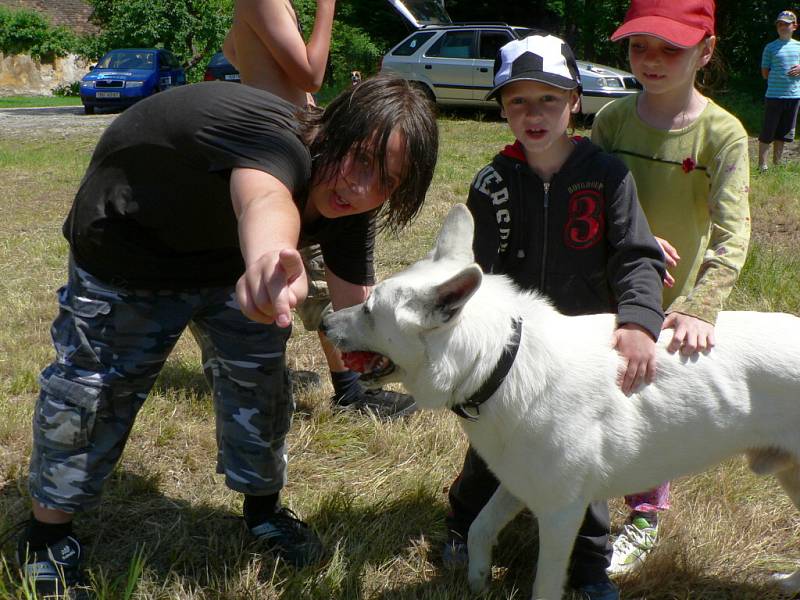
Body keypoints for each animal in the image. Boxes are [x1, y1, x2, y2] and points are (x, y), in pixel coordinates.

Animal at [322, 204, 800, 596]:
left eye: (369, 311)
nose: (324, 321)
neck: (503, 361)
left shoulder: (560, 515)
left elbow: (544, 585)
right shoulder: (516, 486)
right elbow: (477, 529)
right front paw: (477, 581)